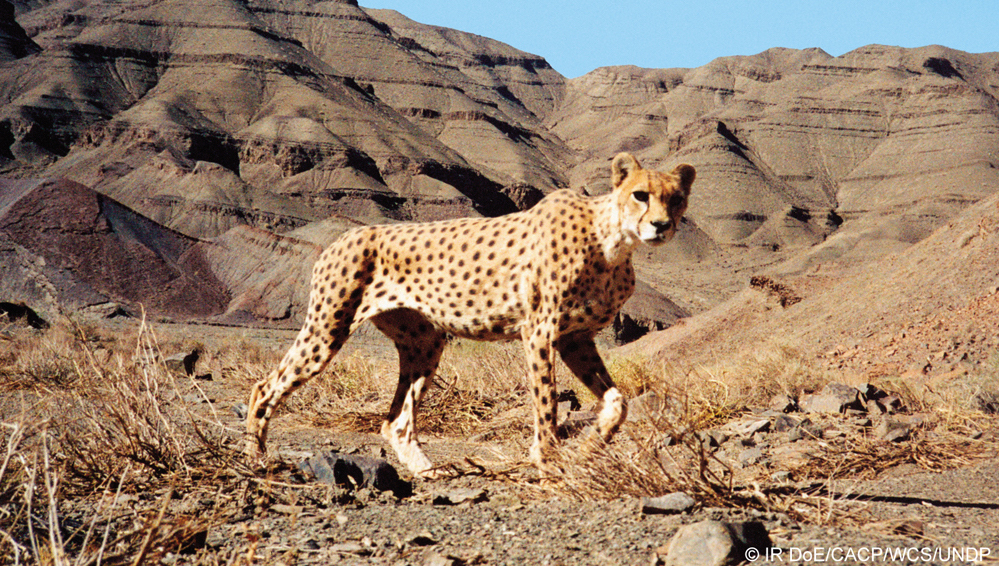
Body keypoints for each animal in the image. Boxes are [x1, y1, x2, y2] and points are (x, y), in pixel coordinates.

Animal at [245, 152, 695, 477]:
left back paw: (428, 472)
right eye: (640, 194)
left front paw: (587, 448)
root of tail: (346, 234)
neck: (612, 241)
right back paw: (256, 457)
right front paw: (547, 460)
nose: (661, 225)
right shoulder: (540, 331)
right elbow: (546, 403)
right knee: (265, 388)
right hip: (328, 328)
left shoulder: (575, 338)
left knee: (396, 421)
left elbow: (618, 403)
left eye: (676, 198)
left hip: (425, 342)